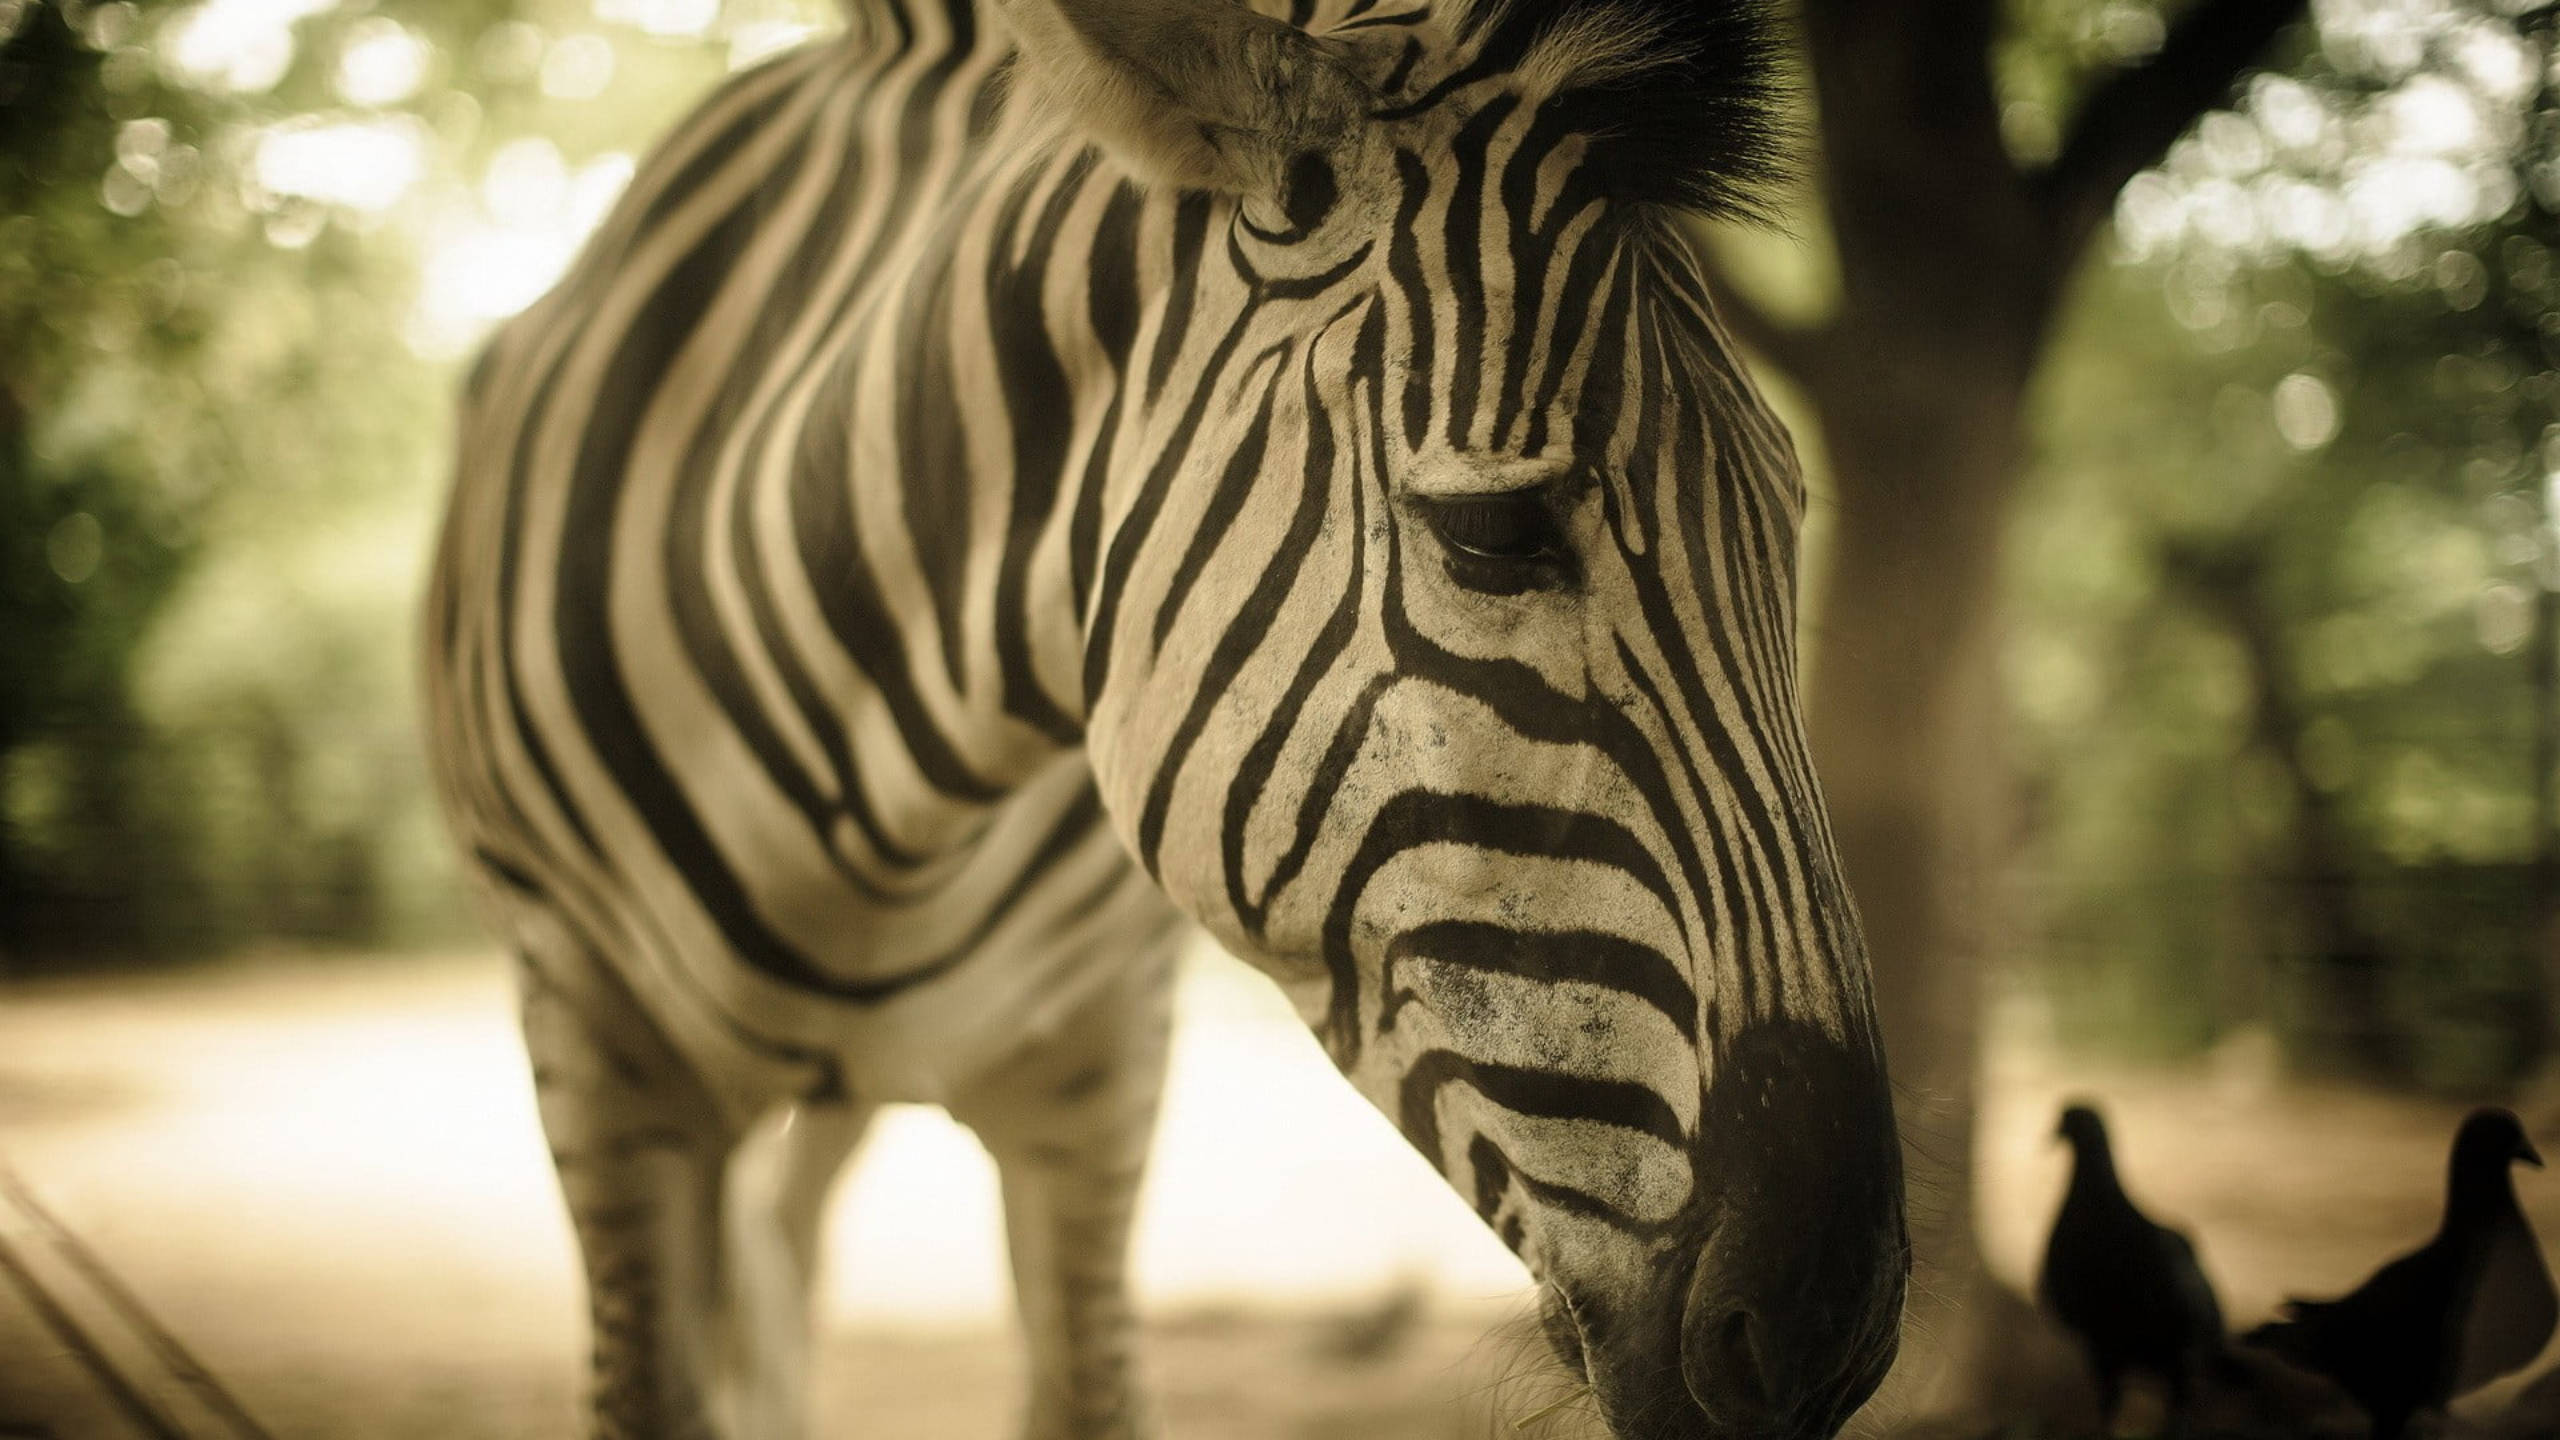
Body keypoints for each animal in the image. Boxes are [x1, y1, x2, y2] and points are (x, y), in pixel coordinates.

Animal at [421, 0, 1909, 1434]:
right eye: (1493, 533)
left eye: (1792, 519)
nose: (1826, 1331)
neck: (882, 819)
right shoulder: (594, 1049)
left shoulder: (1097, 1071)